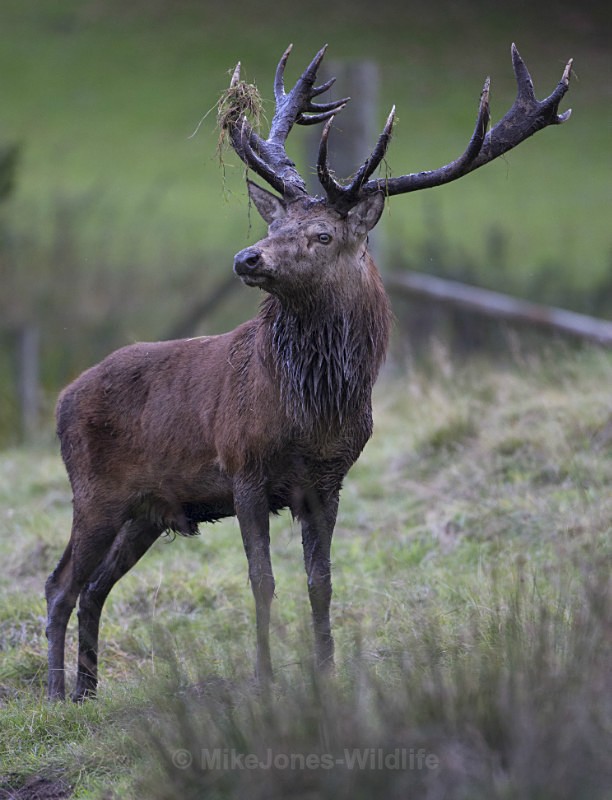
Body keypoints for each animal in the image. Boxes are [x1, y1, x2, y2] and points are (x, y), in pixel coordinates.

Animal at [45, 43, 572, 700]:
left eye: (322, 234)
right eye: (274, 226)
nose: (247, 258)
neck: (312, 416)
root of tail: (62, 398)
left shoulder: (328, 482)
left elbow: (321, 581)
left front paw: (326, 674)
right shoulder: (243, 469)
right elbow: (263, 581)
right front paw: (266, 679)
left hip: (145, 511)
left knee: (92, 587)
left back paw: (88, 691)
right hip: (93, 491)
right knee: (60, 583)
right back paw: (55, 694)